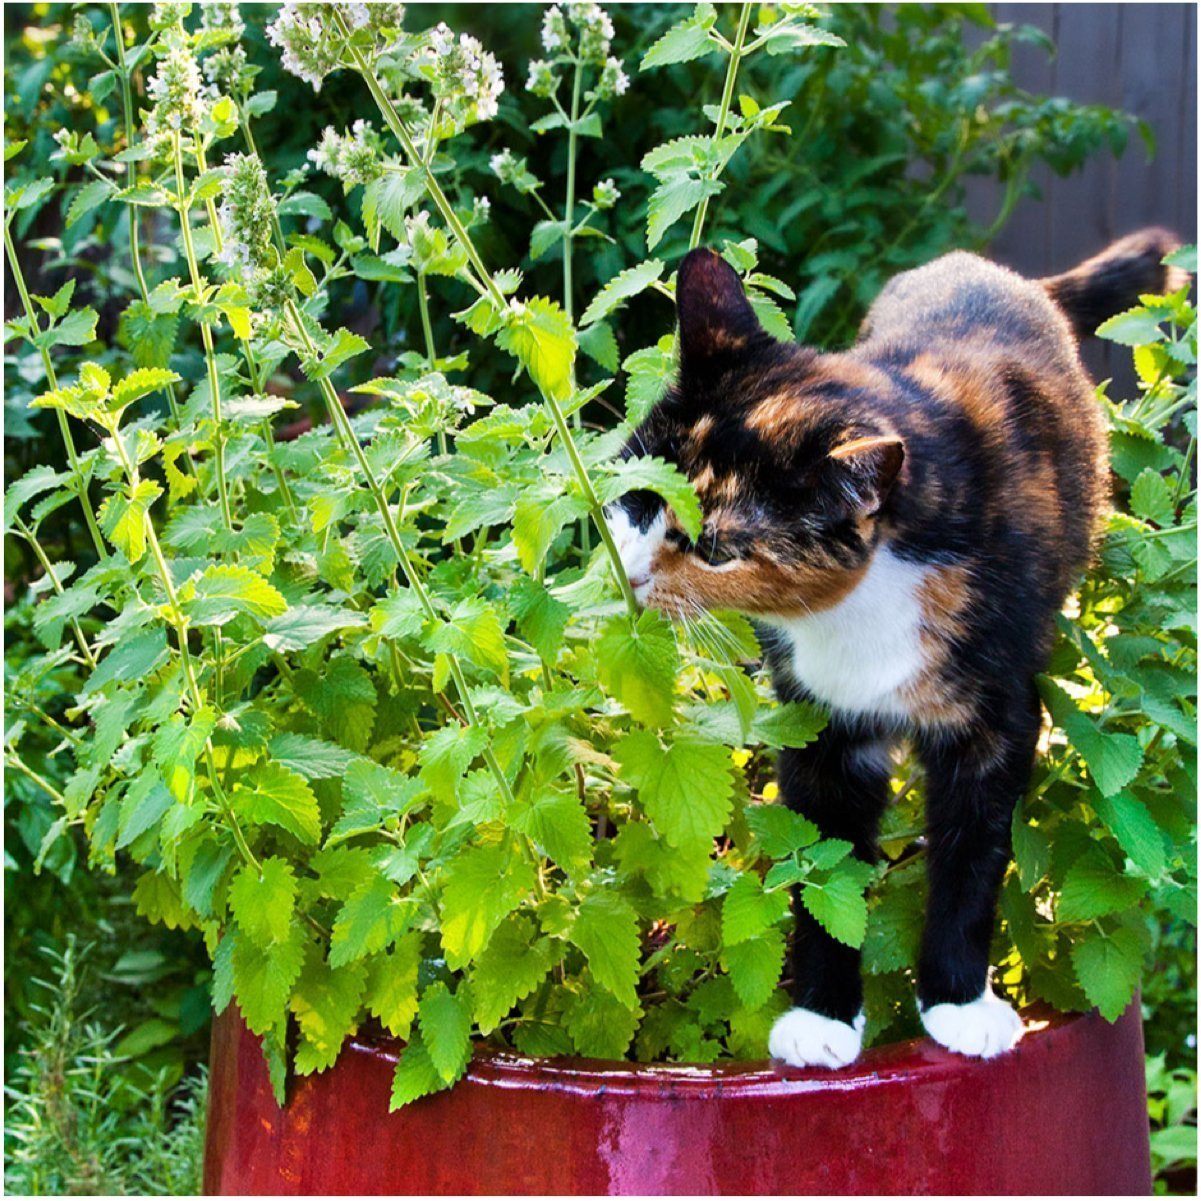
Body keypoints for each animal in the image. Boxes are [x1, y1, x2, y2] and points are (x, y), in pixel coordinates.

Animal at [610, 226, 1181, 1071]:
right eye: (636, 493)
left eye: (714, 549)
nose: (630, 574)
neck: (865, 601)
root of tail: (995, 271)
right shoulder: (819, 721)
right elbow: (823, 865)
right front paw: (820, 1016)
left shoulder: (1000, 718)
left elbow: (973, 857)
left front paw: (959, 1003)